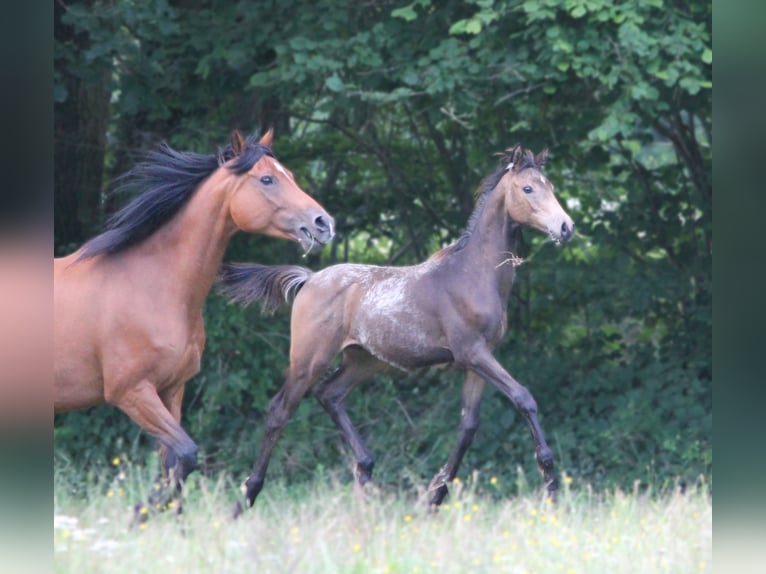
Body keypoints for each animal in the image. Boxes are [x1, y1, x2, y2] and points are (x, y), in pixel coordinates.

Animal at [54, 129, 336, 490]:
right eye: (267, 179)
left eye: (290, 174)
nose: (323, 223)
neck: (151, 285)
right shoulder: (130, 392)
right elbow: (187, 454)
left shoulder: (171, 390)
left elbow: (170, 465)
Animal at [219, 144, 572, 508]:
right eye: (527, 188)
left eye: (550, 186)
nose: (566, 227)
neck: (473, 274)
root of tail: (310, 279)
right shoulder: (472, 353)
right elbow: (524, 398)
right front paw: (551, 484)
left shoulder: (480, 358)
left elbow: (469, 425)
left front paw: (435, 495)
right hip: (309, 359)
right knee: (280, 411)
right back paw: (246, 498)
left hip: (363, 360)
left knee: (330, 394)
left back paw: (365, 473)